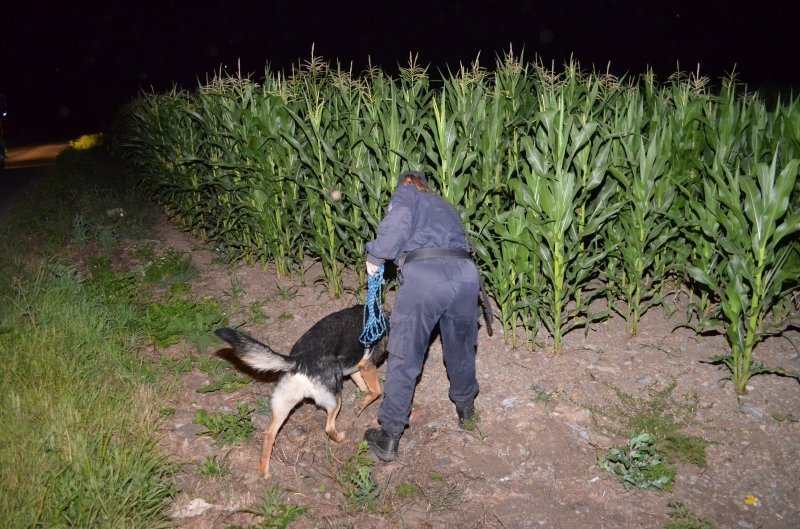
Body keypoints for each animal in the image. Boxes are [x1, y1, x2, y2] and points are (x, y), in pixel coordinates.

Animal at [212, 302, 388, 478]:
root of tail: (298, 361)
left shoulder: (355, 368)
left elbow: (362, 384)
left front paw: (362, 396)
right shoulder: (367, 365)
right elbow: (377, 391)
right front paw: (363, 403)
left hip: (283, 405)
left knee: (269, 434)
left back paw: (264, 471)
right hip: (334, 400)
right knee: (329, 427)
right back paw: (341, 438)